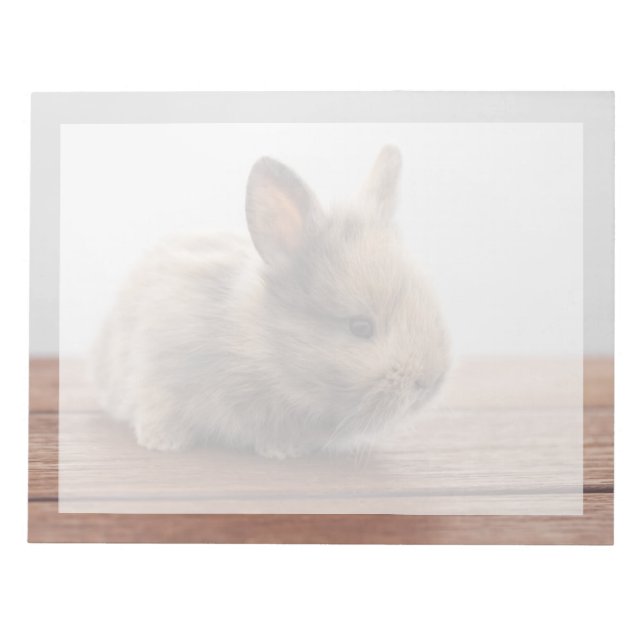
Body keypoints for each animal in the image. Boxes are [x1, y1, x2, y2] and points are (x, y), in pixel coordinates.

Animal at [91, 145, 450, 458]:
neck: (258, 347)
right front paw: (163, 443)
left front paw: (283, 448)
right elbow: (158, 407)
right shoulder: (158, 366)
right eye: (361, 327)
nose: (431, 381)